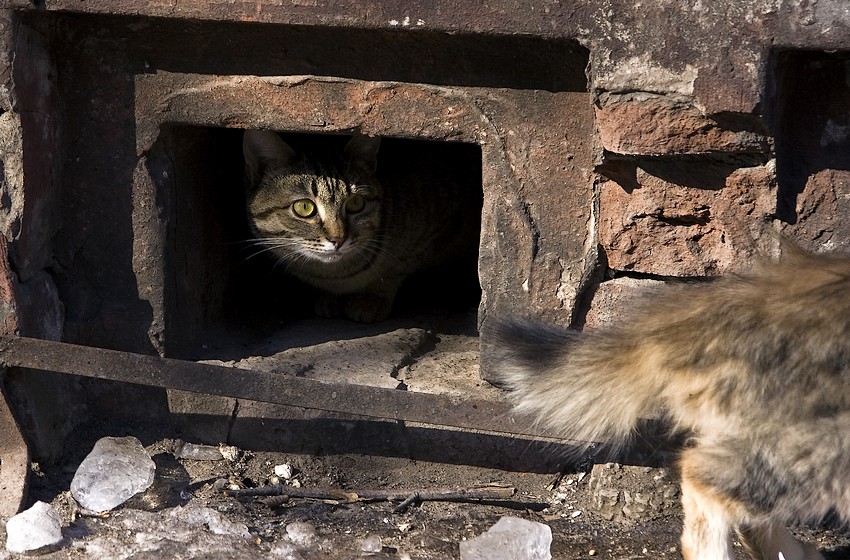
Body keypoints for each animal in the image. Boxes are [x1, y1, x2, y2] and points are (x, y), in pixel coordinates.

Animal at [242, 131, 480, 322]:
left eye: (356, 203)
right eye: (304, 207)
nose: (338, 239)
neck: (335, 275)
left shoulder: (440, 226)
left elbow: (397, 267)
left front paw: (372, 298)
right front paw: (331, 298)